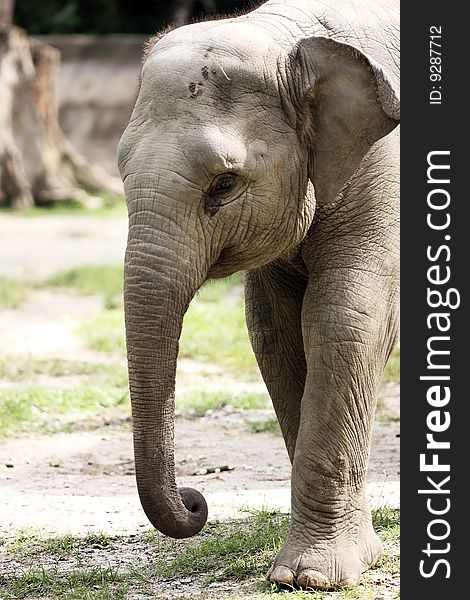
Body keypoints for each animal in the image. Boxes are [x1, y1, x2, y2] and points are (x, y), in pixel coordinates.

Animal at [117, 0, 400, 592]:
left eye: (223, 185)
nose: (197, 501)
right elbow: (273, 330)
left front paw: (311, 578)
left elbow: (345, 320)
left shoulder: (386, 168)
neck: (289, 40)